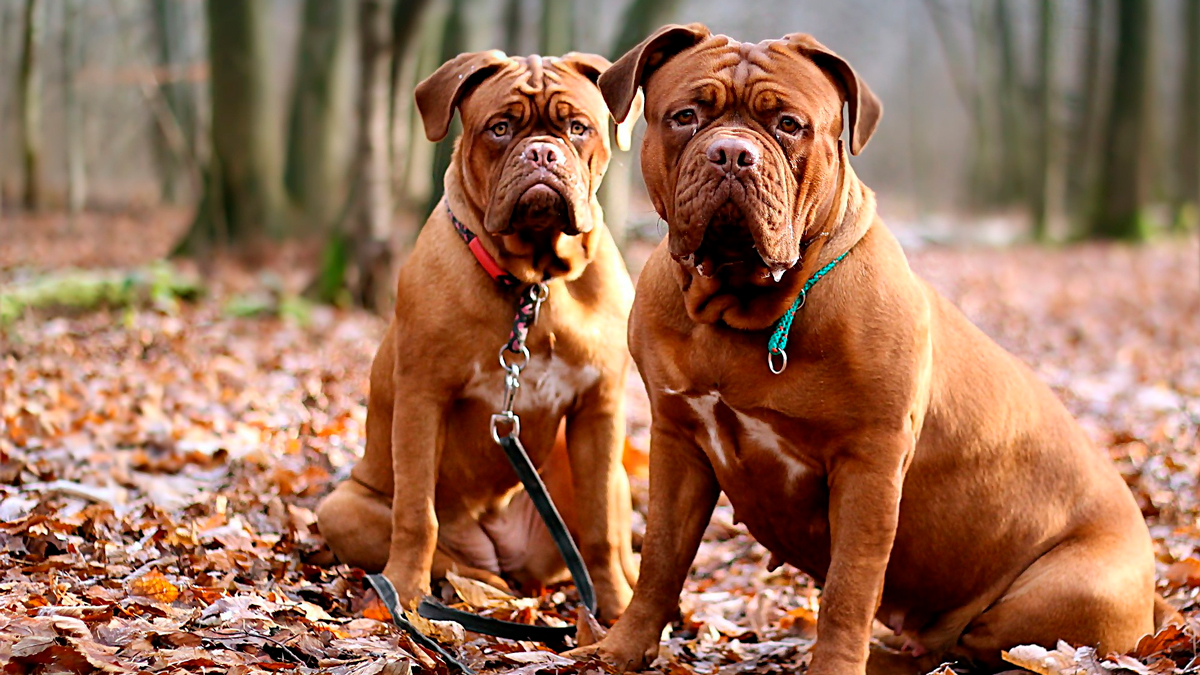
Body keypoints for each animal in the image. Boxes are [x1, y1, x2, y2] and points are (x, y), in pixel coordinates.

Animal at [316, 51, 638, 619]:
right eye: (500, 128)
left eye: (578, 128)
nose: (541, 152)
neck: (534, 282)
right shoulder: (423, 399)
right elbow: (416, 514)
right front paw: (405, 590)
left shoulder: (598, 409)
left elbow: (601, 527)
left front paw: (617, 610)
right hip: (344, 506)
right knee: (450, 555)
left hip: (606, 473)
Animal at [571, 23, 1171, 667]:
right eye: (685, 116)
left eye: (789, 124)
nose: (731, 152)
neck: (744, 307)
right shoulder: (678, 440)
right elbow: (660, 558)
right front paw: (617, 650)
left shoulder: (870, 465)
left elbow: (849, 587)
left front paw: (834, 666)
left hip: (1052, 598)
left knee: (968, 647)